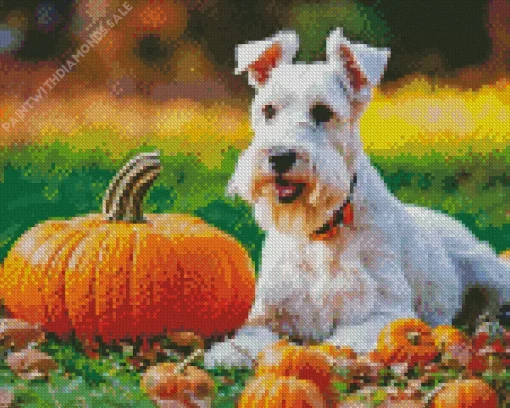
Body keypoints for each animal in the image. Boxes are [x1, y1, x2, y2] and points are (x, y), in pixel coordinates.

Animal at [203, 27, 510, 368]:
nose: (279, 157)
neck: (320, 230)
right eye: (268, 110)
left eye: (323, 112)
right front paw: (227, 353)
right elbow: (250, 335)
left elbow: (341, 342)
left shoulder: (383, 313)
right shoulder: (268, 312)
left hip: (491, 273)